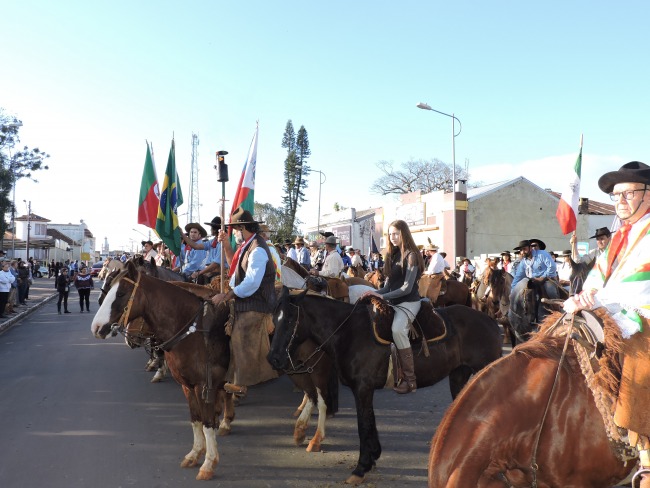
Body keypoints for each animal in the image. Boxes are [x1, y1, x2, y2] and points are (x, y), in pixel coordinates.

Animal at [266, 286, 498, 484]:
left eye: (289, 320)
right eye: (275, 319)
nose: (273, 358)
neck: (347, 331)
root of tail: (491, 321)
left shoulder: (362, 389)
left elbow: (363, 425)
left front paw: (361, 468)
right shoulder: (364, 390)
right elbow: (370, 422)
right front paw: (373, 456)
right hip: (459, 375)